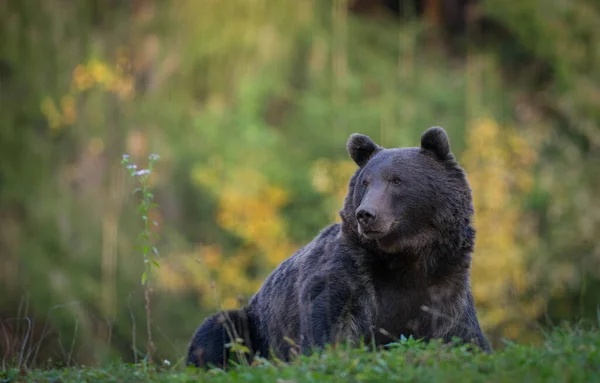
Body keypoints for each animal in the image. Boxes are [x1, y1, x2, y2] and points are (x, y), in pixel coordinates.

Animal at [188, 128, 492, 368]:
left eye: (397, 180)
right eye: (365, 182)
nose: (366, 214)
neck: (407, 256)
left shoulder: (445, 281)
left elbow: (462, 335)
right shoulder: (349, 276)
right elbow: (332, 327)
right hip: (256, 326)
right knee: (220, 329)